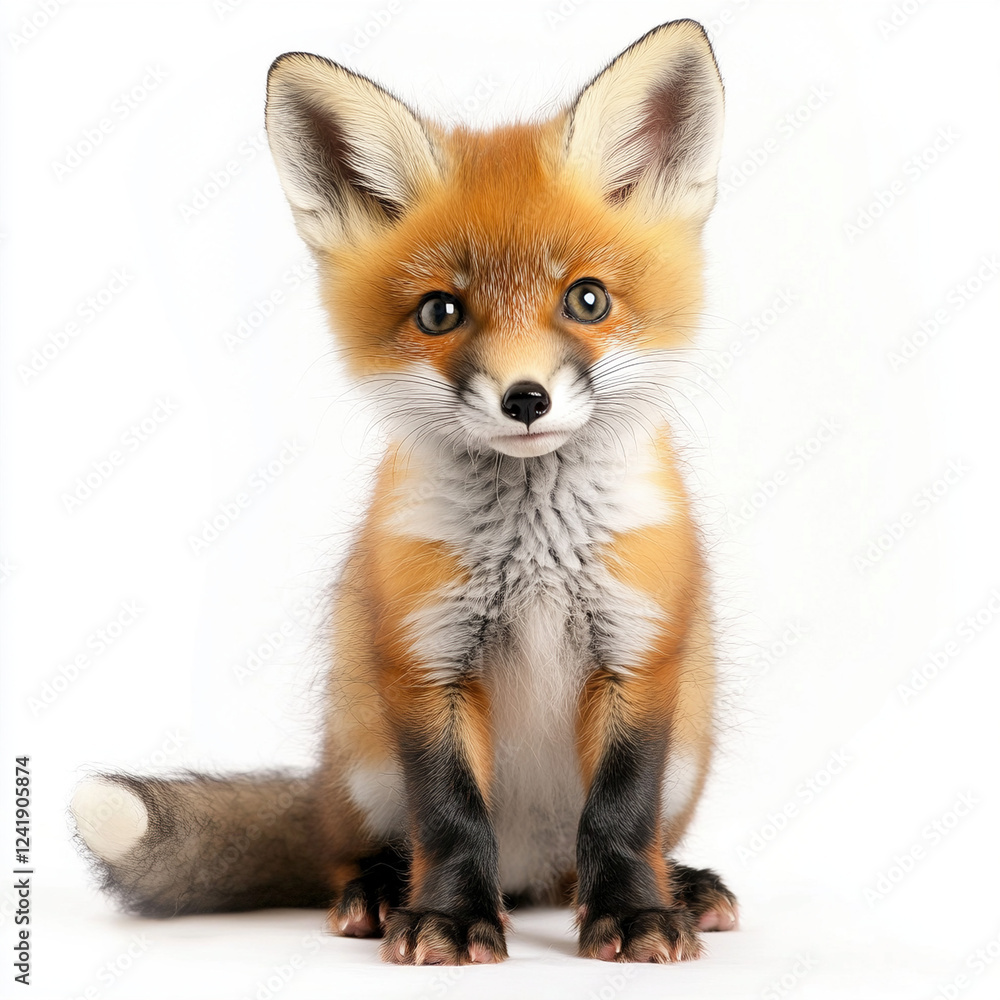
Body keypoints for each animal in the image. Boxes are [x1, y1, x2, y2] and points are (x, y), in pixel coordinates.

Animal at [71, 19, 739, 965]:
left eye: (588, 299)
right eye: (439, 314)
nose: (524, 399)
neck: (534, 556)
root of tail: (528, 872)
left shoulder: (640, 652)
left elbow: (620, 814)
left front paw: (638, 913)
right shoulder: (425, 658)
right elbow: (451, 815)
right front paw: (450, 921)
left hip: (688, 747)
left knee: (597, 855)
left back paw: (681, 885)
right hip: (363, 763)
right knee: (361, 849)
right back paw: (382, 893)